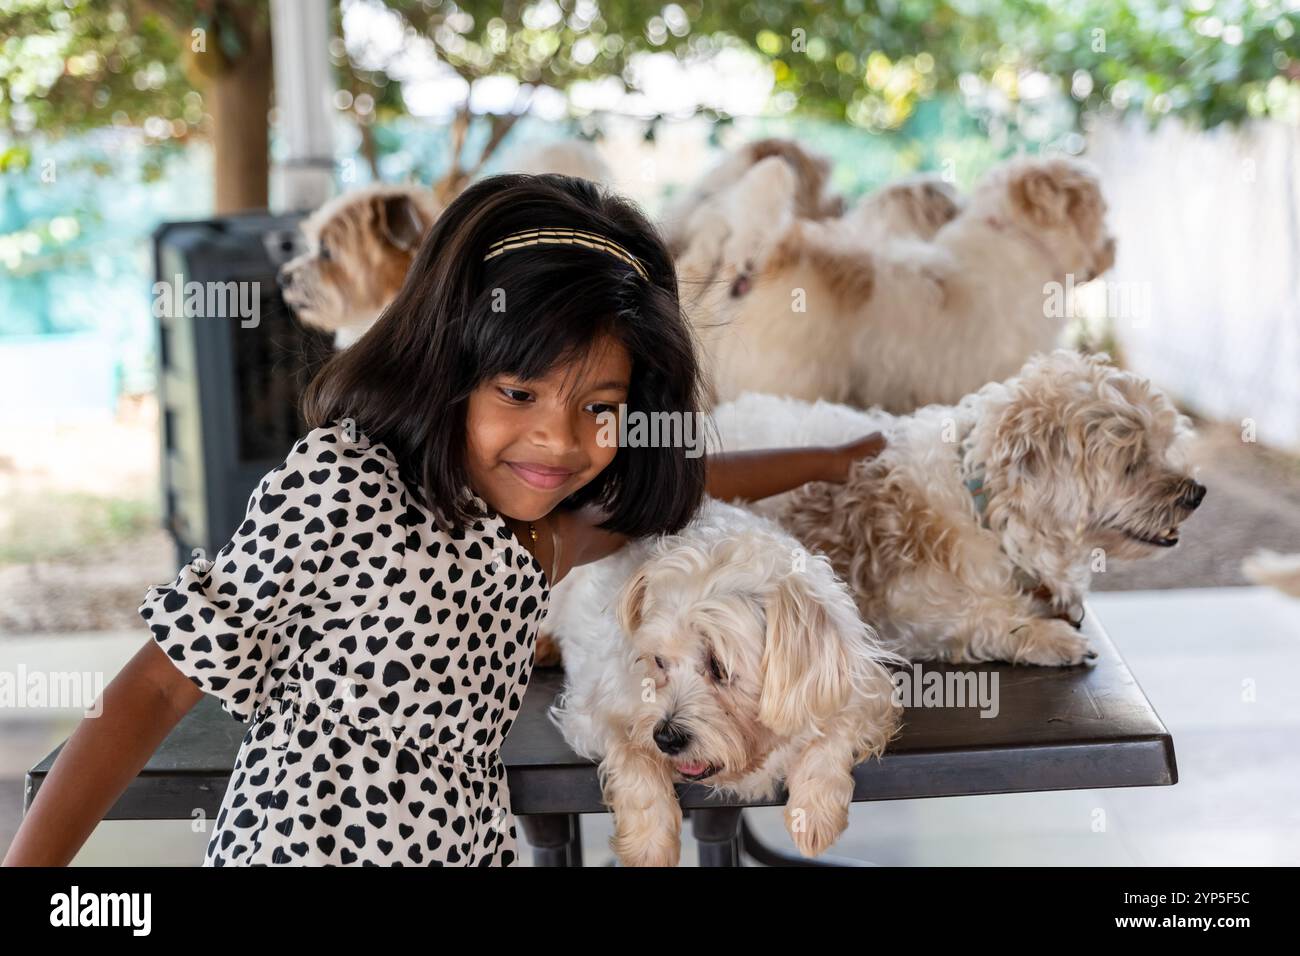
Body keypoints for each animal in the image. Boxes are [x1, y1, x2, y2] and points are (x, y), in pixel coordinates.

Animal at [712, 348, 1206, 665]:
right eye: (1131, 463)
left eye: (1163, 446)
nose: (1197, 493)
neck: (985, 509)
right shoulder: (903, 616)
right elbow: (981, 618)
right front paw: (1047, 636)